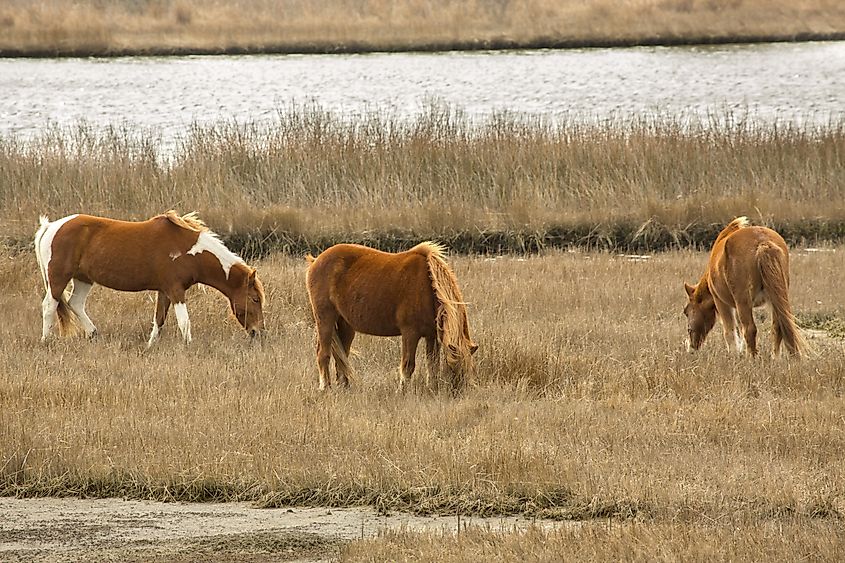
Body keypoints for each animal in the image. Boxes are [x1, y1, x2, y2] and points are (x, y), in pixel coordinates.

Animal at [34, 211, 265, 345]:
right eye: (255, 299)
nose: (258, 332)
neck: (188, 251)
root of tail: (50, 227)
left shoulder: (164, 290)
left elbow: (159, 319)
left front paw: (150, 345)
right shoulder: (175, 290)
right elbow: (184, 322)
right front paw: (189, 346)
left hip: (83, 278)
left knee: (76, 303)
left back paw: (93, 334)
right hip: (59, 277)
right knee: (49, 305)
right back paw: (46, 340)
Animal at [305, 242, 478, 393]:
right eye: (456, 365)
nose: (460, 390)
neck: (428, 286)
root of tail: (316, 261)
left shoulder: (431, 335)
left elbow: (433, 364)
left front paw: (432, 388)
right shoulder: (410, 333)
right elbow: (408, 365)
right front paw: (402, 391)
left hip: (345, 325)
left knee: (342, 357)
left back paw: (345, 387)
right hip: (325, 319)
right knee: (323, 354)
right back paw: (325, 388)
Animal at [683, 216, 804, 357]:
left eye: (686, 311)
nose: (691, 348)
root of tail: (763, 243)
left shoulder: (721, 303)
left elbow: (729, 332)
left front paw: (733, 354)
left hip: (743, 302)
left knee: (750, 329)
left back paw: (751, 358)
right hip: (776, 298)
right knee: (778, 326)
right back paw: (775, 358)